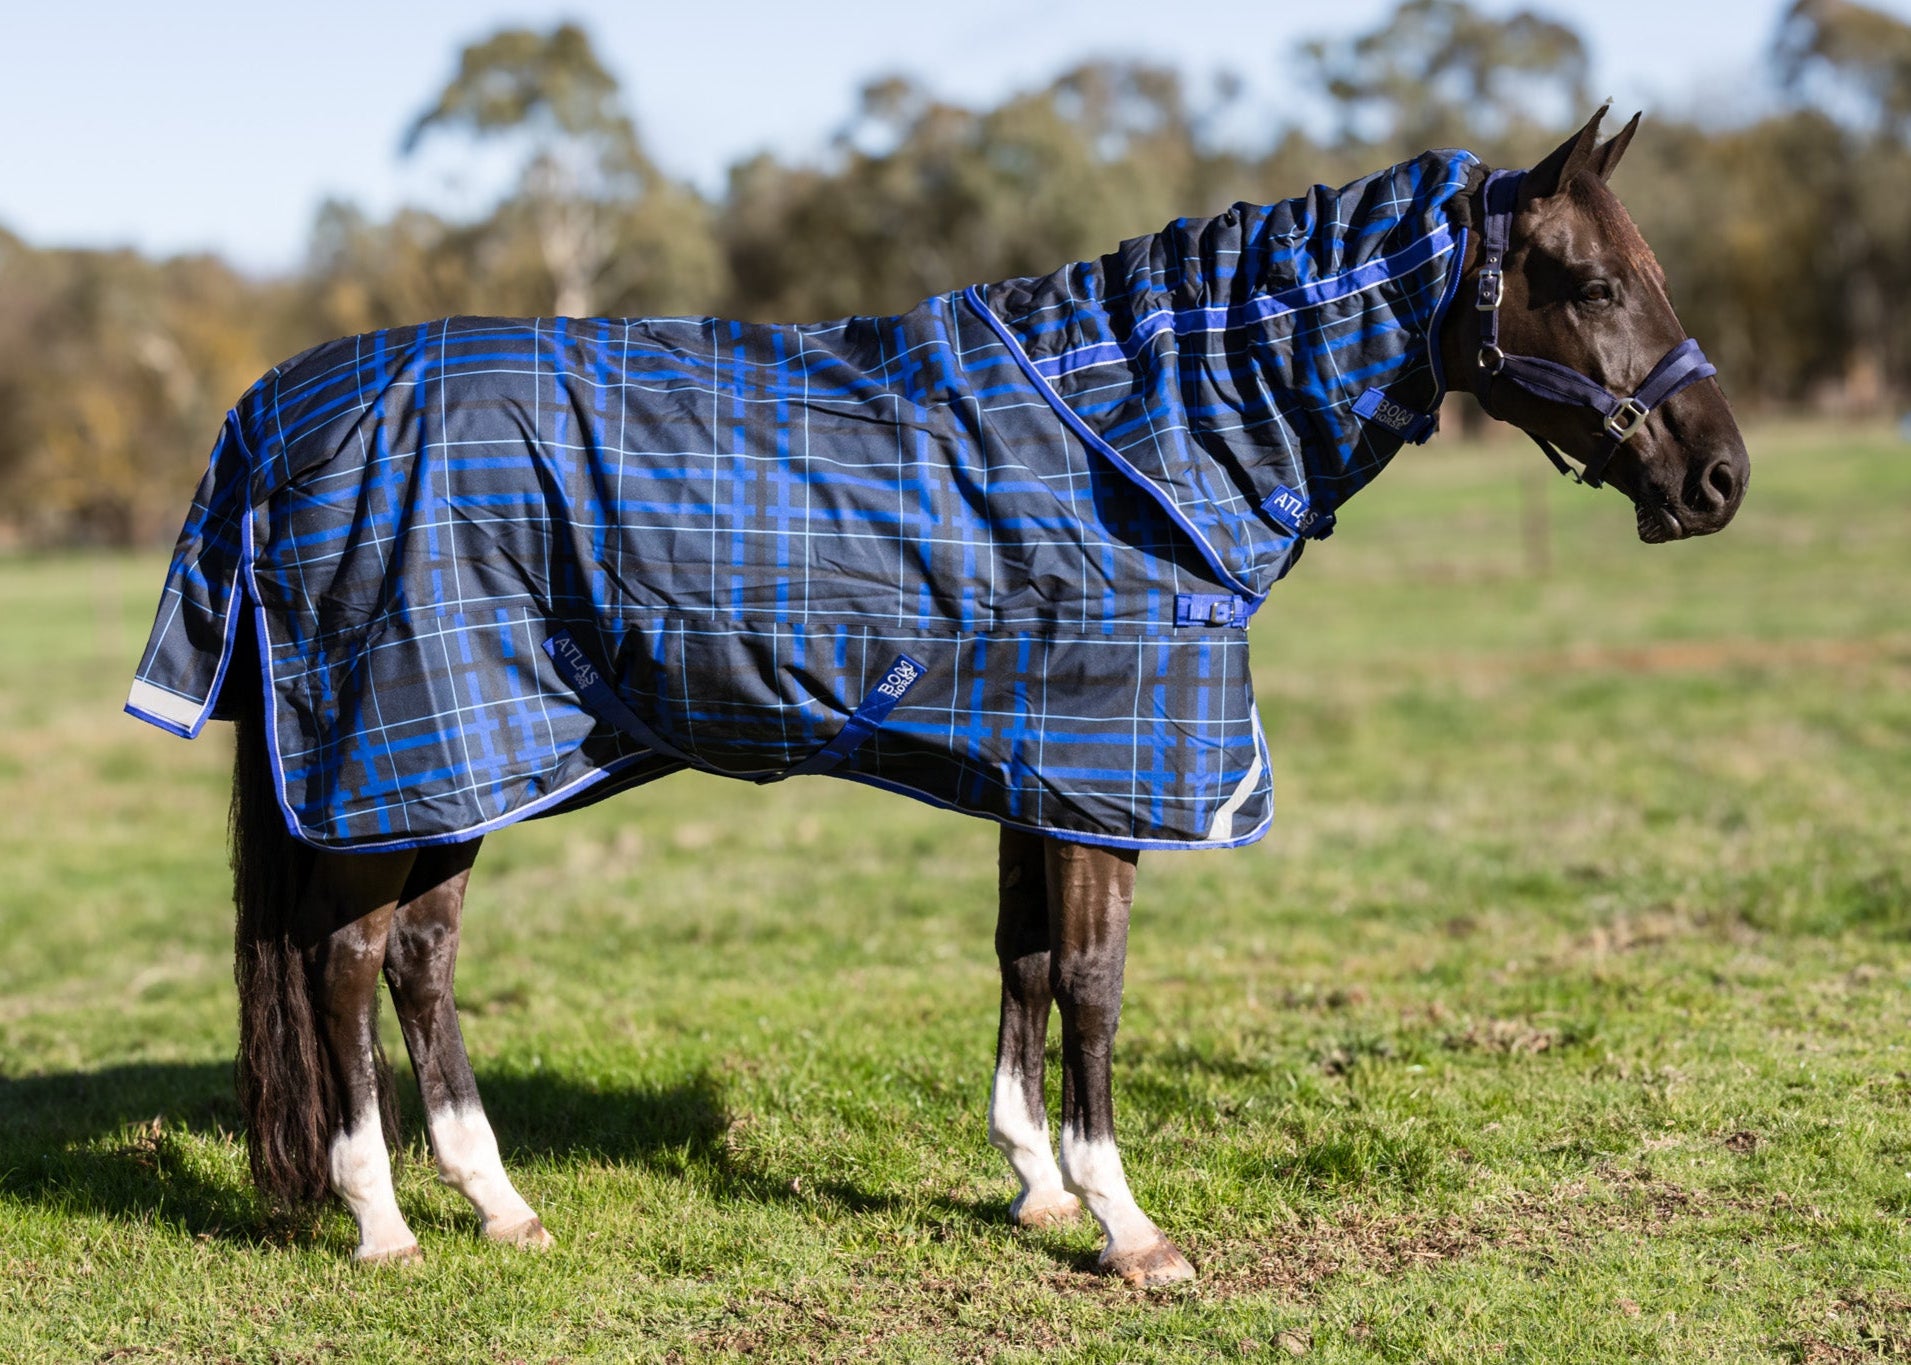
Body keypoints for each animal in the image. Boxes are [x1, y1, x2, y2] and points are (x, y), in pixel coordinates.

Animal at [128, 108, 1746, 1285]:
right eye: (1591, 283)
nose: (1718, 478)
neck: (1141, 431)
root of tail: (272, 413)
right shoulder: (1102, 778)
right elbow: (1091, 985)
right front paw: (1127, 1225)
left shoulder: (1043, 765)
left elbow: (1022, 965)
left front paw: (1034, 1187)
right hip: (401, 764)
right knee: (348, 962)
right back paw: (384, 1222)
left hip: (470, 764)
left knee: (420, 959)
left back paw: (500, 1204)